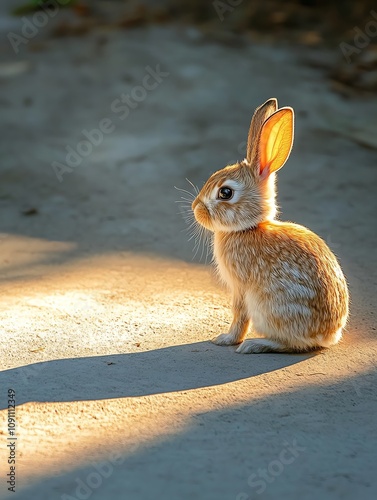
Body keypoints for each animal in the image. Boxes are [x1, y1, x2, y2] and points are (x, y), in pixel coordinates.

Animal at [192, 97, 348, 354]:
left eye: (225, 193)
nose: (196, 209)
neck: (248, 228)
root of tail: (328, 335)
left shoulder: (241, 289)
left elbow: (240, 315)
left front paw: (226, 339)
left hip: (269, 307)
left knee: (290, 343)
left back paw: (254, 345)